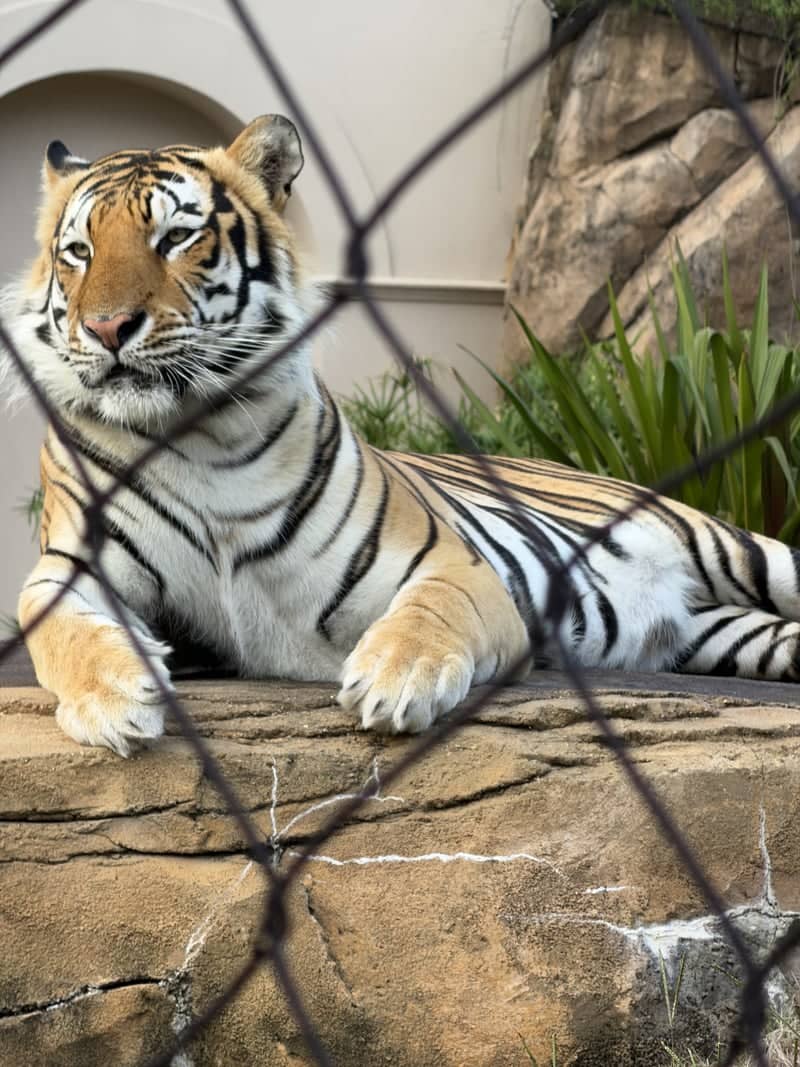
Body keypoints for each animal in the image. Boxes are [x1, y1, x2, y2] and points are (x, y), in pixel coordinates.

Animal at [4, 113, 800, 758]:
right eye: (78, 251)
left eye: (175, 237)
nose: (106, 327)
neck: (196, 436)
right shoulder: (71, 563)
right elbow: (55, 622)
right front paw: (114, 699)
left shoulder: (451, 561)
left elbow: (429, 611)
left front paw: (397, 678)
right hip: (720, 632)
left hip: (737, 547)